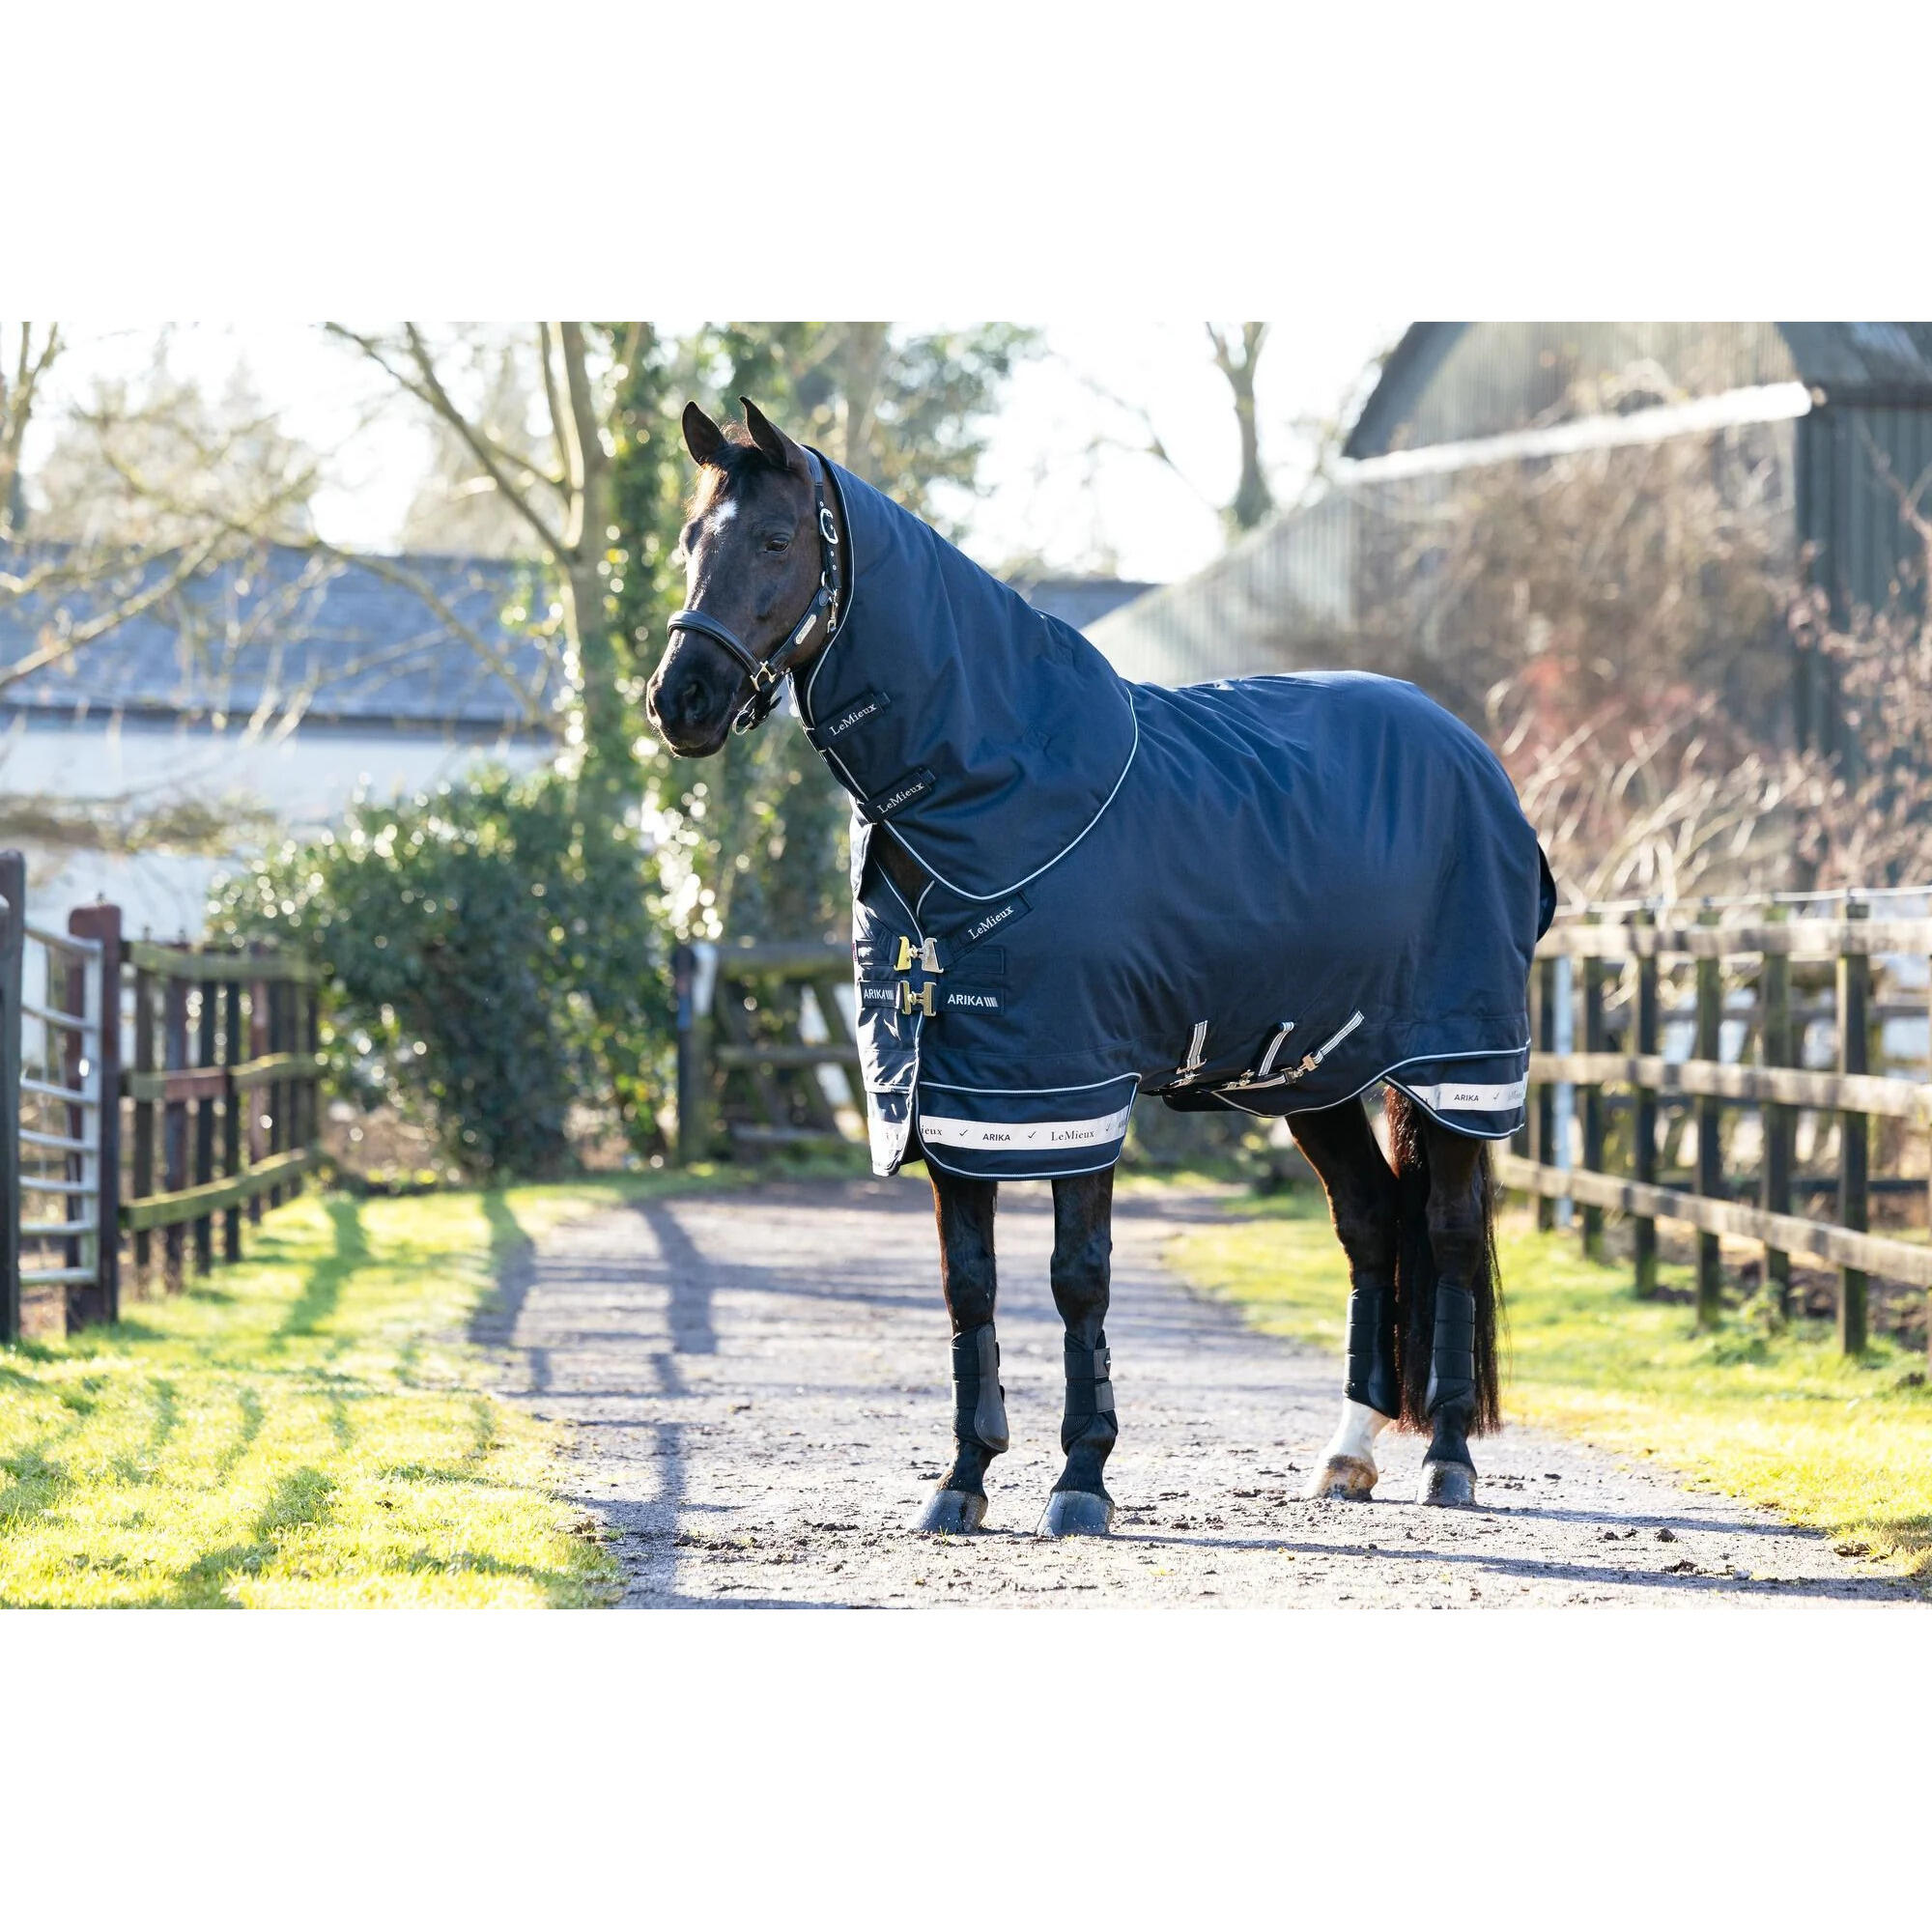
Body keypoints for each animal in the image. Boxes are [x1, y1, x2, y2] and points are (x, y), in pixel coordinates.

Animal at [645, 397, 1553, 1535]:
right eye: (690, 541)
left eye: (774, 540)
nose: (678, 699)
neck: (999, 791)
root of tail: (1472, 756)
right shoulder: (953, 1094)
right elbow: (970, 1285)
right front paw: (963, 1477)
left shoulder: (1070, 1086)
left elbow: (1077, 1279)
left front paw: (1080, 1478)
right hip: (1312, 1077)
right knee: (1371, 1224)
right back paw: (1345, 1454)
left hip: (1457, 1070)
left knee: (1447, 1230)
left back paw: (1445, 1459)